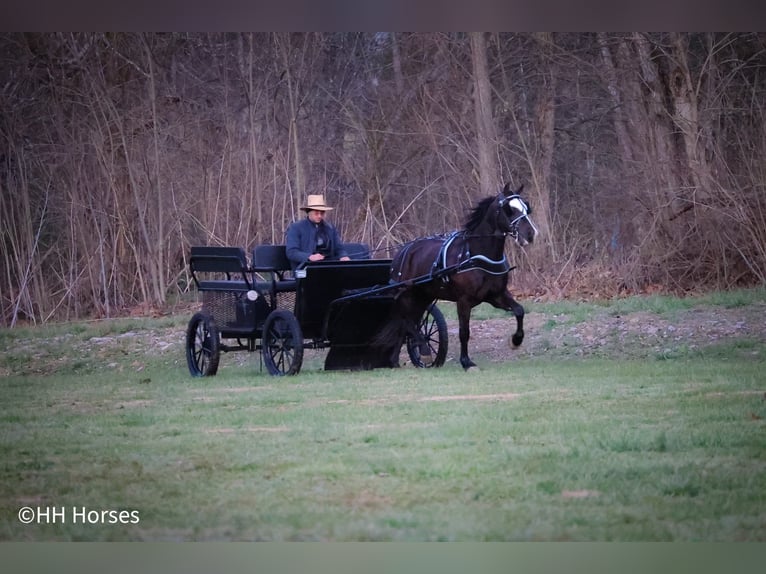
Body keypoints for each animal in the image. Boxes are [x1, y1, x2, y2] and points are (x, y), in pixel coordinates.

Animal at [380, 184, 536, 374]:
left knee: (409, 322)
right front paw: (467, 362)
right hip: (407, 294)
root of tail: (403, 251)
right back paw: (424, 350)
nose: (530, 233)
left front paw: (516, 341)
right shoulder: (464, 301)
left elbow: (519, 311)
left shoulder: (496, 296)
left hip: (423, 296)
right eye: (509, 209)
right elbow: (464, 332)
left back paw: (396, 360)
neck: (475, 255)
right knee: (406, 320)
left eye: (526, 207)